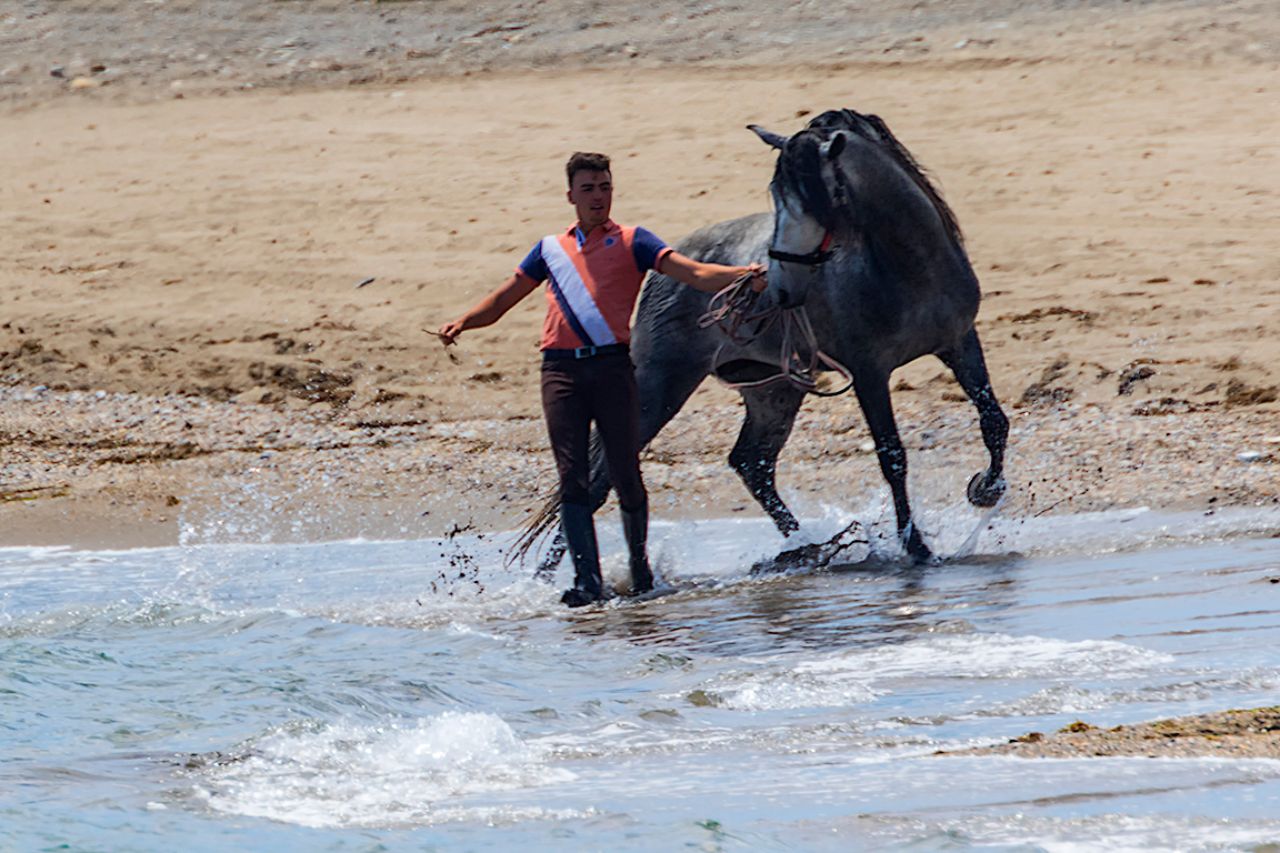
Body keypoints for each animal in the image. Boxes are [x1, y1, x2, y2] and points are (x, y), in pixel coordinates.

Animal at [524, 108, 1008, 572]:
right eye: (777, 197)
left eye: (813, 199)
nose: (779, 287)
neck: (908, 263)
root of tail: (664, 260)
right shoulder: (870, 371)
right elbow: (892, 456)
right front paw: (918, 548)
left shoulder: (959, 342)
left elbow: (993, 421)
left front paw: (985, 489)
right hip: (657, 389)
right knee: (599, 481)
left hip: (774, 390)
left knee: (751, 463)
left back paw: (807, 548)